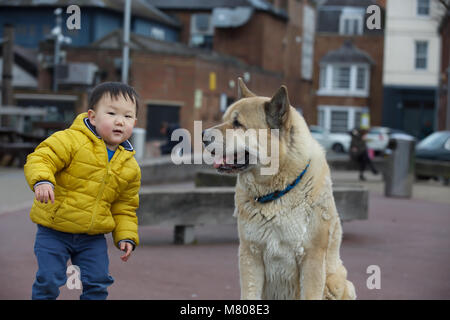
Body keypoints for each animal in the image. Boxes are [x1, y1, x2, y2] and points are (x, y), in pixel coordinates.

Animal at [203, 79, 356, 298]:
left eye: (238, 123)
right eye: (224, 119)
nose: (202, 135)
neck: (275, 192)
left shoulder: (312, 258)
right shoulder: (250, 254)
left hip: (339, 284)